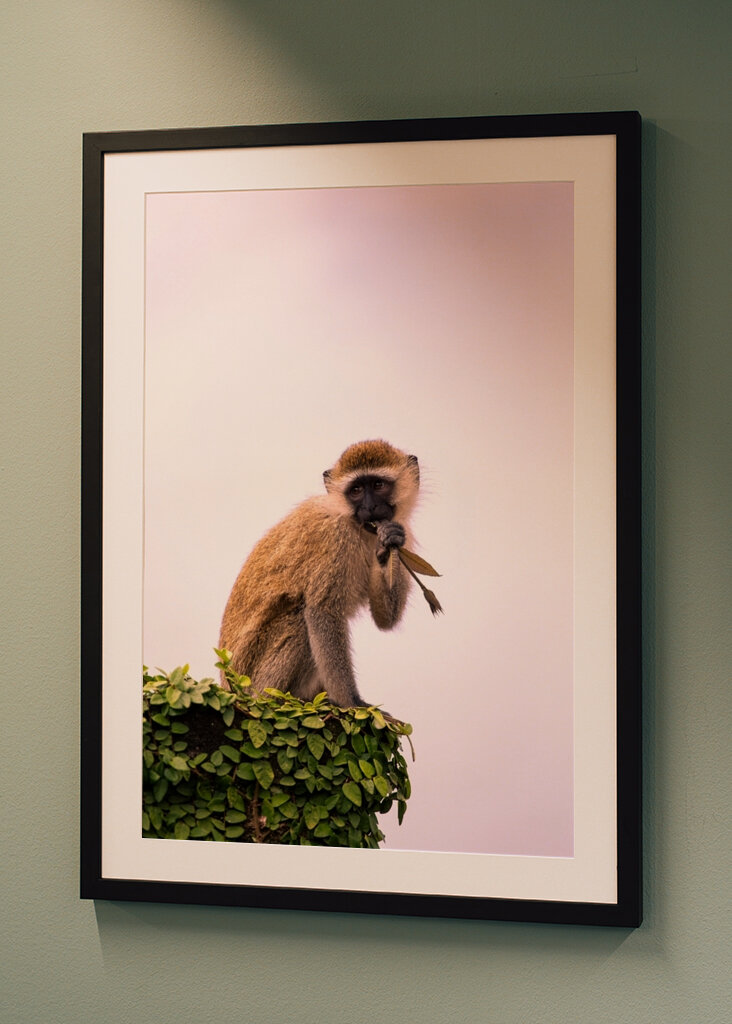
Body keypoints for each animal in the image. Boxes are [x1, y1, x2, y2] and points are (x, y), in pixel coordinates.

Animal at [218, 440, 421, 707]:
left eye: (378, 485)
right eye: (356, 490)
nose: (369, 507)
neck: (356, 526)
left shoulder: (403, 530)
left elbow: (386, 619)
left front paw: (389, 540)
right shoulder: (334, 538)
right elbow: (321, 612)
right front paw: (353, 703)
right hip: (250, 679)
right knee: (299, 617)